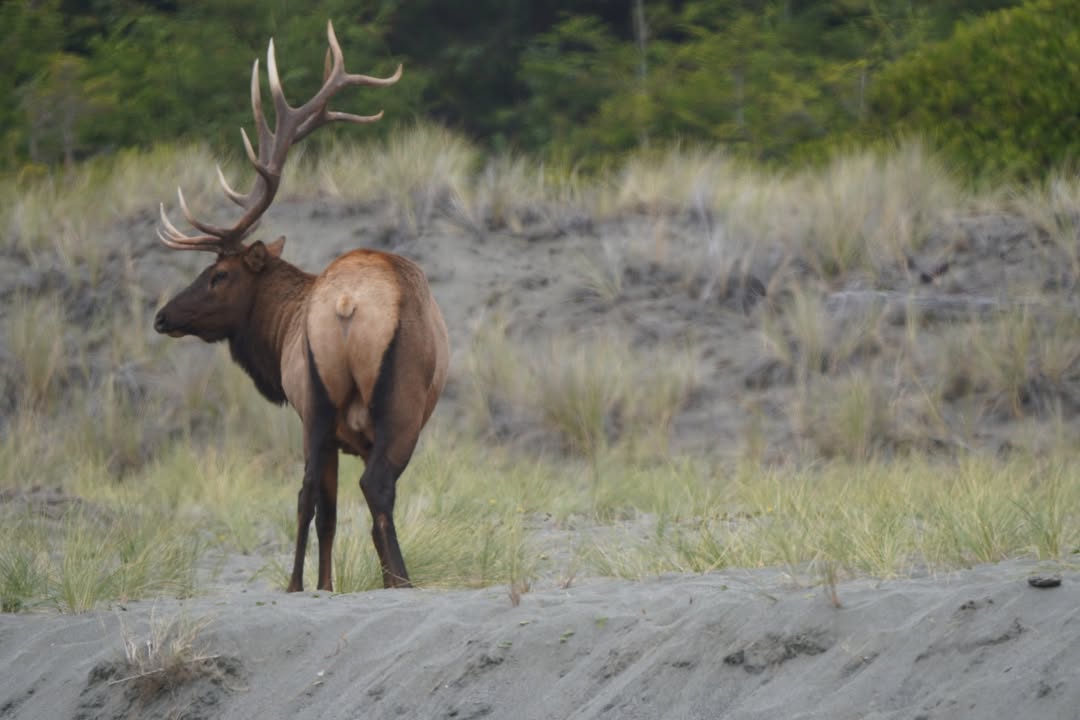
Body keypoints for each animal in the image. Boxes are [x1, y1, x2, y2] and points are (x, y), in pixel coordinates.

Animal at [152, 22, 449, 593]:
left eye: (218, 275)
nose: (162, 315)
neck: (281, 330)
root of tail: (348, 302)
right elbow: (334, 509)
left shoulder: (315, 415)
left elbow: (326, 510)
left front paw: (324, 586)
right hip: (392, 402)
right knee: (368, 488)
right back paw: (394, 581)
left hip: (320, 401)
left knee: (317, 492)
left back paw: (311, 585)